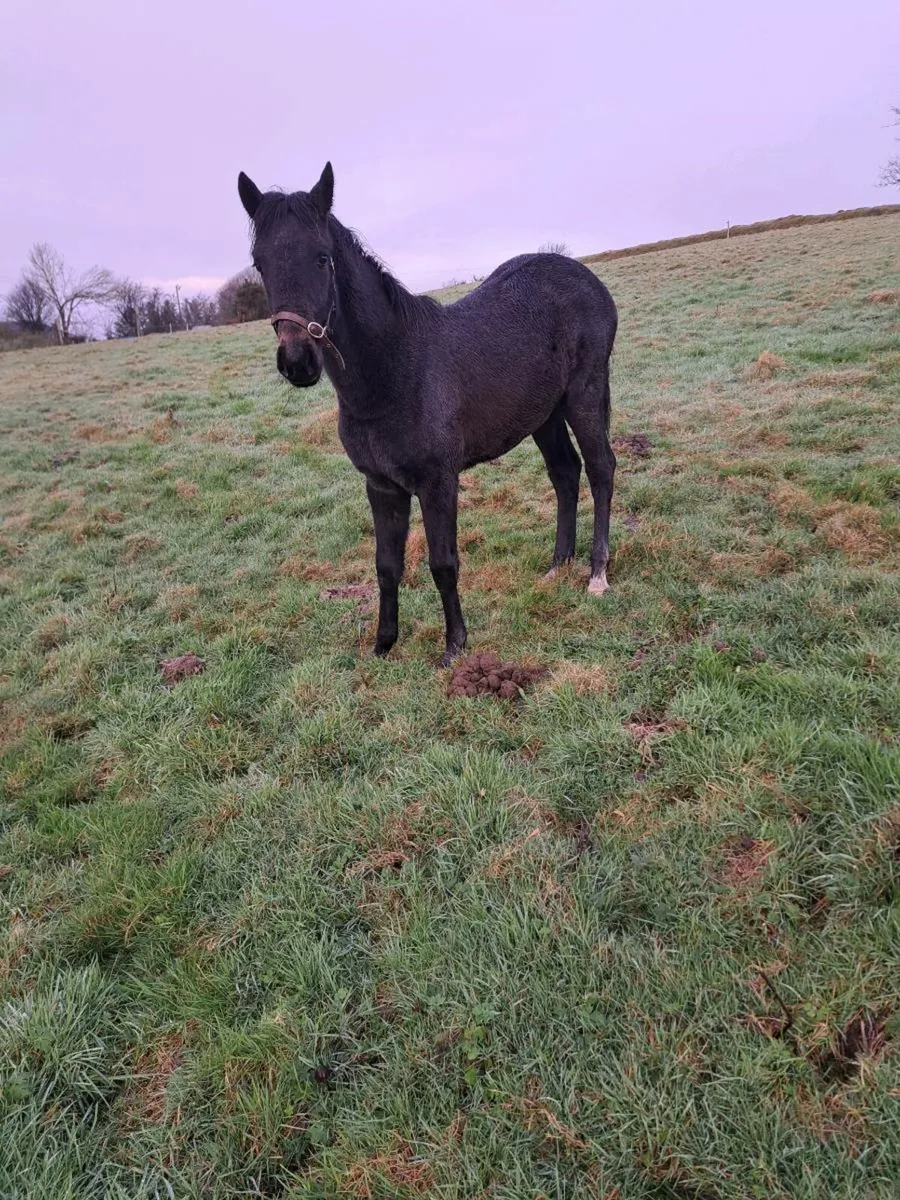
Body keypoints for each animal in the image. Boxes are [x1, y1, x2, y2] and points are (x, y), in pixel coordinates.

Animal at [238, 163, 618, 667]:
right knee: (565, 473)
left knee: (600, 469)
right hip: (544, 414)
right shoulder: (381, 485)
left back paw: (597, 574)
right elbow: (386, 565)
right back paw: (558, 566)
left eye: (322, 258)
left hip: (583, 395)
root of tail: (587, 278)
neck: (394, 372)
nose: (298, 361)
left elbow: (442, 563)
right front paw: (383, 644)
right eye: (260, 263)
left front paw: (455, 646)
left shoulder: (439, 482)